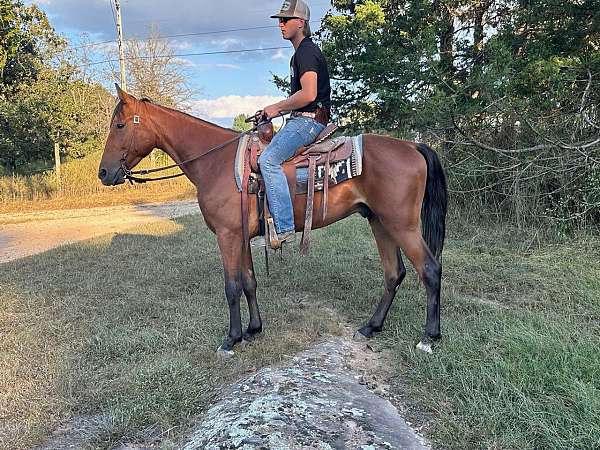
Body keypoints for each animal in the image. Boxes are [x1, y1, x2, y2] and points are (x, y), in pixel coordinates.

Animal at [97, 86, 446, 356]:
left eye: (120, 125)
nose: (103, 173)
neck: (216, 162)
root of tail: (412, 145)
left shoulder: (227, 235)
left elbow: (232, 286)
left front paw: (231, 339)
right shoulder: (241, 236)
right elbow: (249, 281)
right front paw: (253, 329)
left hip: (402, 225)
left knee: (429, 270)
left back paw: (429, 338)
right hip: (380, 222)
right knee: (394, 273)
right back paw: (371, 327)